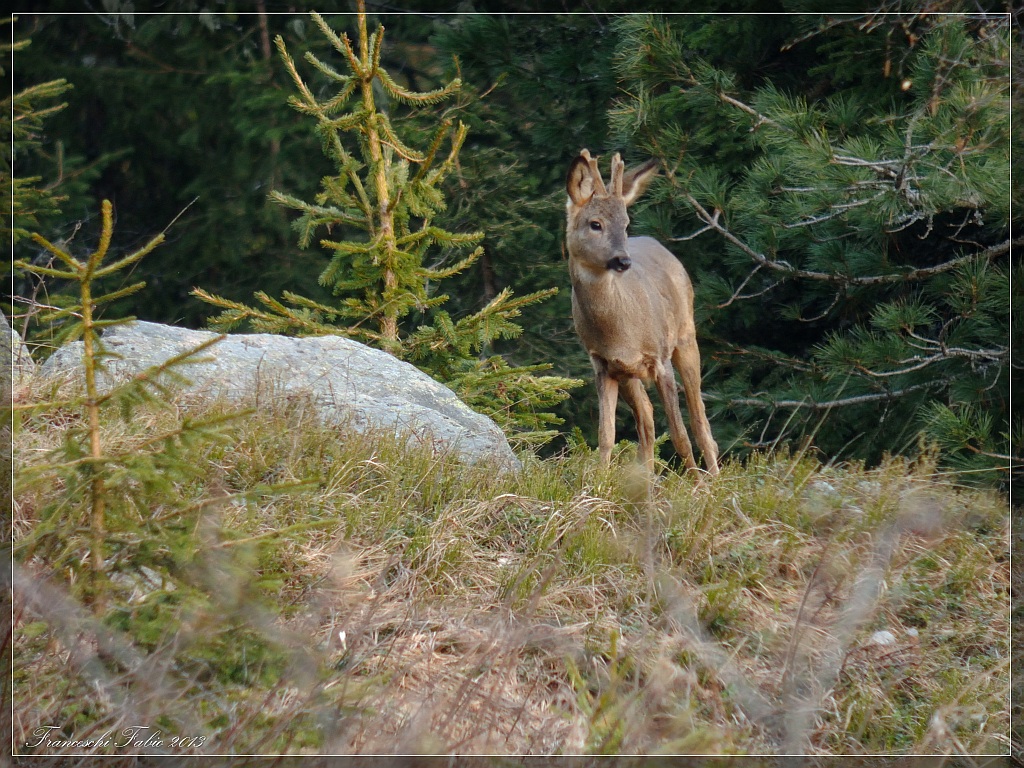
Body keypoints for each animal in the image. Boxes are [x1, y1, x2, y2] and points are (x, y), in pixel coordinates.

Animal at [565, 149, 719, 477]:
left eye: (625, 224)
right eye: (595, 224)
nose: (623, 260)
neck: (620, 330)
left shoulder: (660, 358)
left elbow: (680, 435)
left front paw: (699, 486)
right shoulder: (604, 364)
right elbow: (606, 436)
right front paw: (597, 484)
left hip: (686, 337)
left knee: (700, 421)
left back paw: (715, 478)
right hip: (630, 375)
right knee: (646, 423)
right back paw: (647, 481)